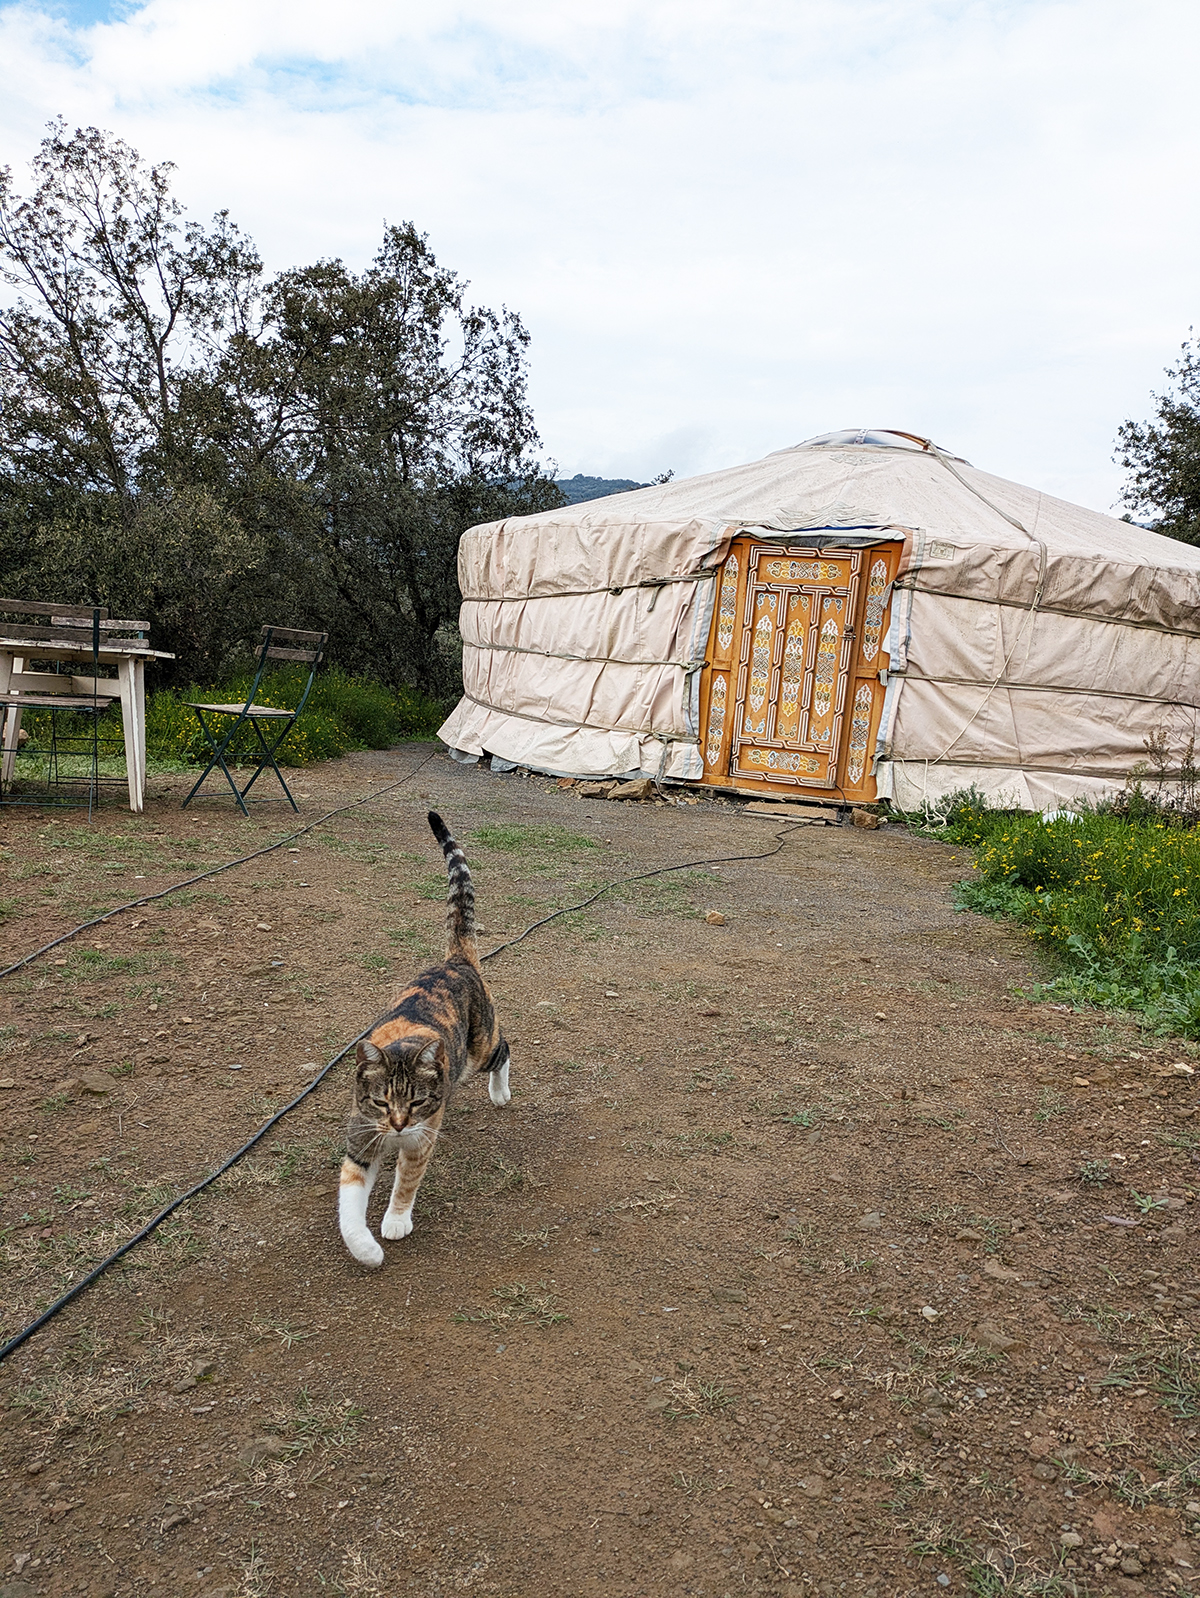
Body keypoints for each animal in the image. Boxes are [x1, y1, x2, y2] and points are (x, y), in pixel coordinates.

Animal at [338, 818, 511, 1265]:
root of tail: (456, 960)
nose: (399, 1125)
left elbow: (406, 1182)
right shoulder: (361, 1138)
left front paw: (396, 1221)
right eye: (381, 1102)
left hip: (479, 1050)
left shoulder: (421, 1138)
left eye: (416, 1102)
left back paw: (499, 1091)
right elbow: (349, 1203)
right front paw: (365, 1249)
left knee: (504, 1049)